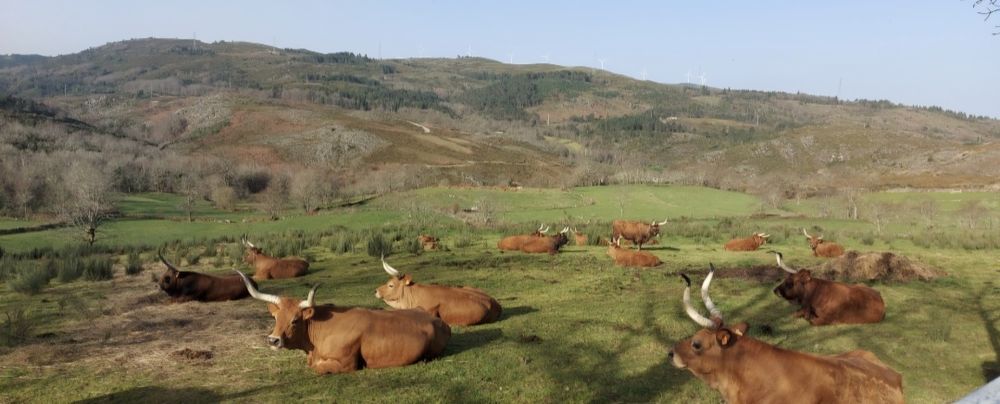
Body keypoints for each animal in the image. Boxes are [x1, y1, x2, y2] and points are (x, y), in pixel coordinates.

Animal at [234, 270, 451, 374]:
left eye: (295, 320)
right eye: (275, 318)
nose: (273, 340)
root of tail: (434, 318)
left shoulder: (347, 364)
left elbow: (318, 368)